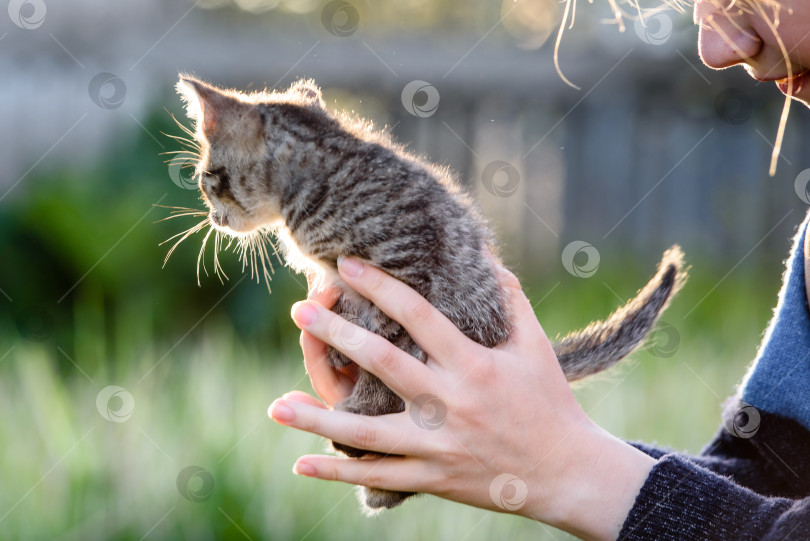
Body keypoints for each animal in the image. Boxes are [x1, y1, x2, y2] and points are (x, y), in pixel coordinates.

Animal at [174, 76, 684, 510]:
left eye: (204, 178)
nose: (213, 217)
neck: (321, 180)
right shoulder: (349, 280)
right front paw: (343, 350)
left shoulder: (410, 268)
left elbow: (384, 343)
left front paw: (363, 401)